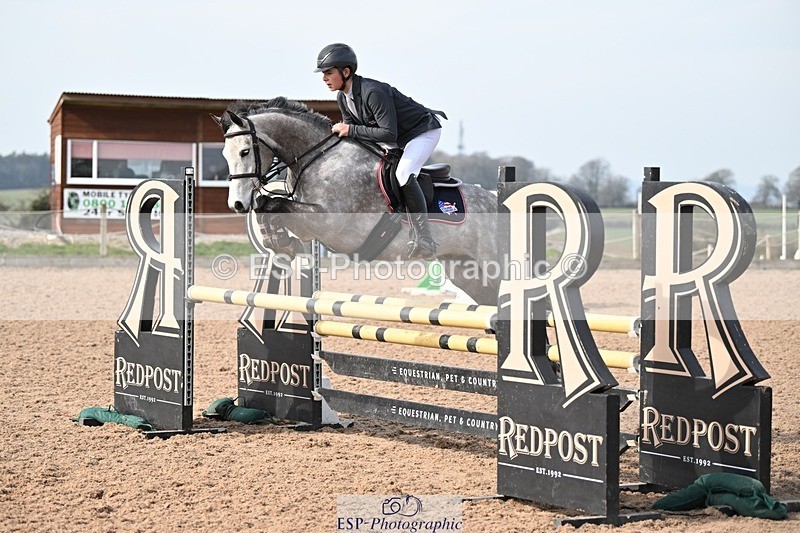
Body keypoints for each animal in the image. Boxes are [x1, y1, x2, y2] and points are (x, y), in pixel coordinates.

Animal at [213, 97, 499, 305]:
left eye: (245, 151)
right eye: (224, 154)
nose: (236, 204)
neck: (317, 157)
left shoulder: (327, 223)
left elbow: (272, 204)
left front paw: (283, 243)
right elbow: (266, 205)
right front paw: (280, 243)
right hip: (466, 273)